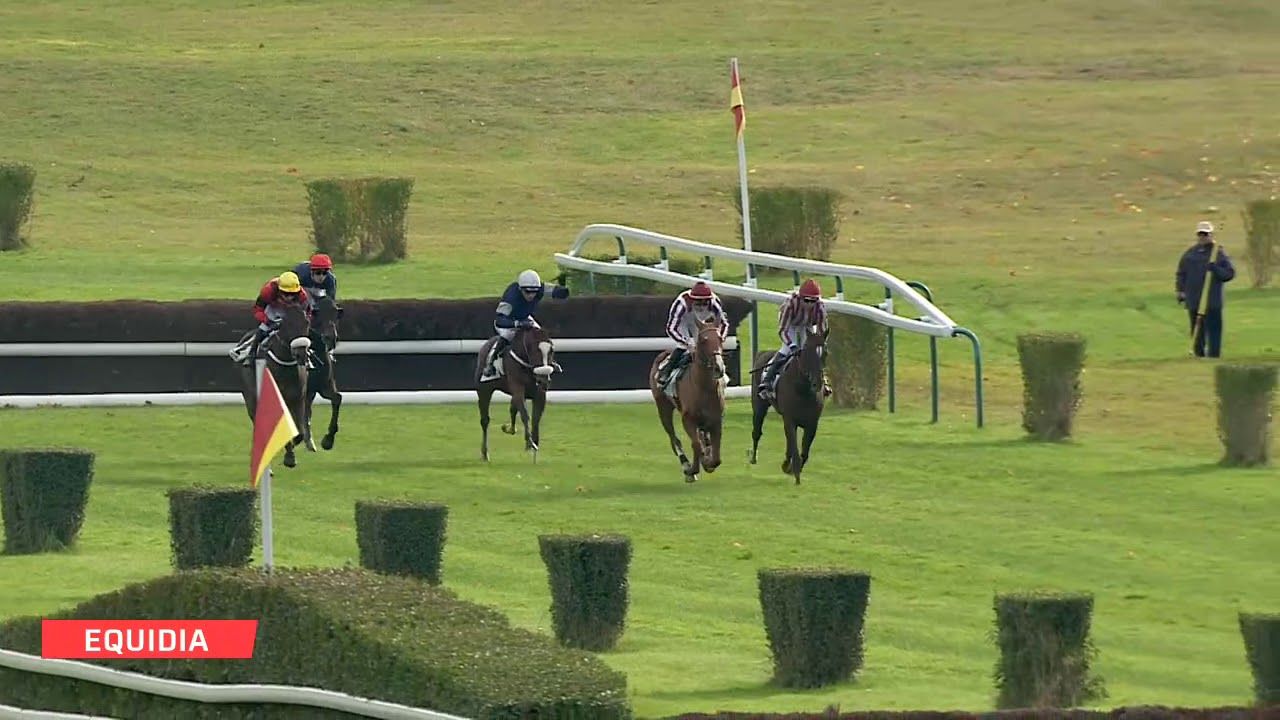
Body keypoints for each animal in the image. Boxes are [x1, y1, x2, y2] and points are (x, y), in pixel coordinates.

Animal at [238, 301, 312, 469]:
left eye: (306, 322)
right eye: (288, 324)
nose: (301, 354)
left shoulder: (298, 398)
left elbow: (299, 432)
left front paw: (291, 453)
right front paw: (289, 456)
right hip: (251, 398)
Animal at [303, 290, 344, 452]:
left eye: (336, 313)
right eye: (317, 313)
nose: (330, 338)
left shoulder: (323, 386)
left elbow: (337, 398)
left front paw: (328, 440)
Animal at [476, 324, 559, 462]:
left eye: (551, 351)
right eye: (535, 350)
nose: (544, 379)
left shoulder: (539, 393)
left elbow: (535, 418)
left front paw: (533, 444)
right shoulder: (518, 387)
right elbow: (525, 415)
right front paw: (531, 443)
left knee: (513, 409)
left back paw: (510, 428)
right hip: (484, 390)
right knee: (485, 420)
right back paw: (485, 453)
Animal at [648, 318, 726, 483]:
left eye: (720, 338)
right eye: (703, 340)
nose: (718, 367)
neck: (704, 388)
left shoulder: (716, 420)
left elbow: (716, 457)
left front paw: (708, 462)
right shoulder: (688, 419)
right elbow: (696, 444)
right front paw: (692, 469)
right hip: (663, 407)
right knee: (674, 438)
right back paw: (685, 464)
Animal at [749, 324, 828, 485]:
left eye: (825, 353)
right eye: (807, 352)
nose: (817, 383)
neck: (803, 389)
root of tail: (762, 353)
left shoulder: (812, 423)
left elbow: (804, 451)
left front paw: (790, 468)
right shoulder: (790, 419)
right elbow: (795, 450)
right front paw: (795, 474)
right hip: (759, 406)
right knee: (756, 432)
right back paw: (753, 457)